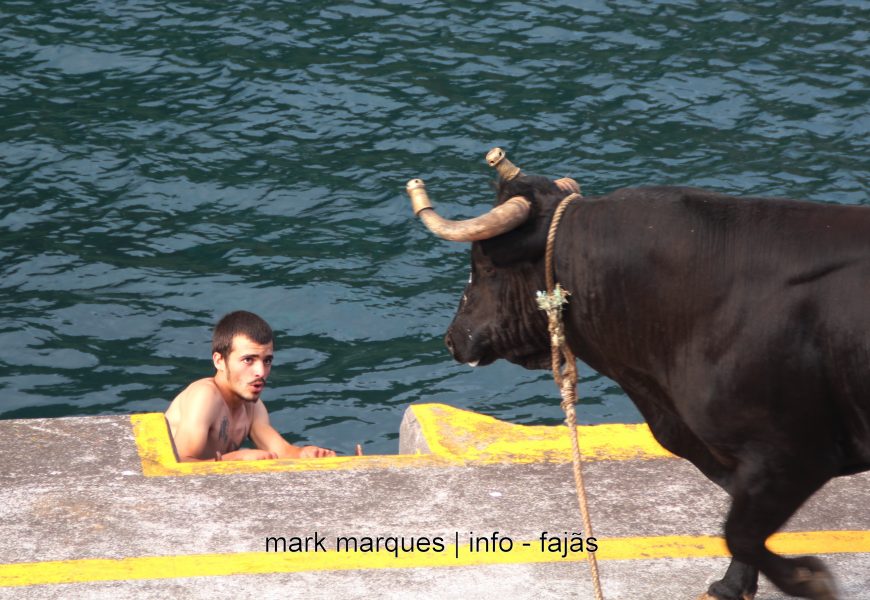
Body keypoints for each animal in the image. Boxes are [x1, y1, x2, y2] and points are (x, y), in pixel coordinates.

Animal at [418, 171, 868, 596]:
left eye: (485, 265)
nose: (453, 337)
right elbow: (740, 531)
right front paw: (732, 586)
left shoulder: (792, 454)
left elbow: (739, 533)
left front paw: (809, 580)